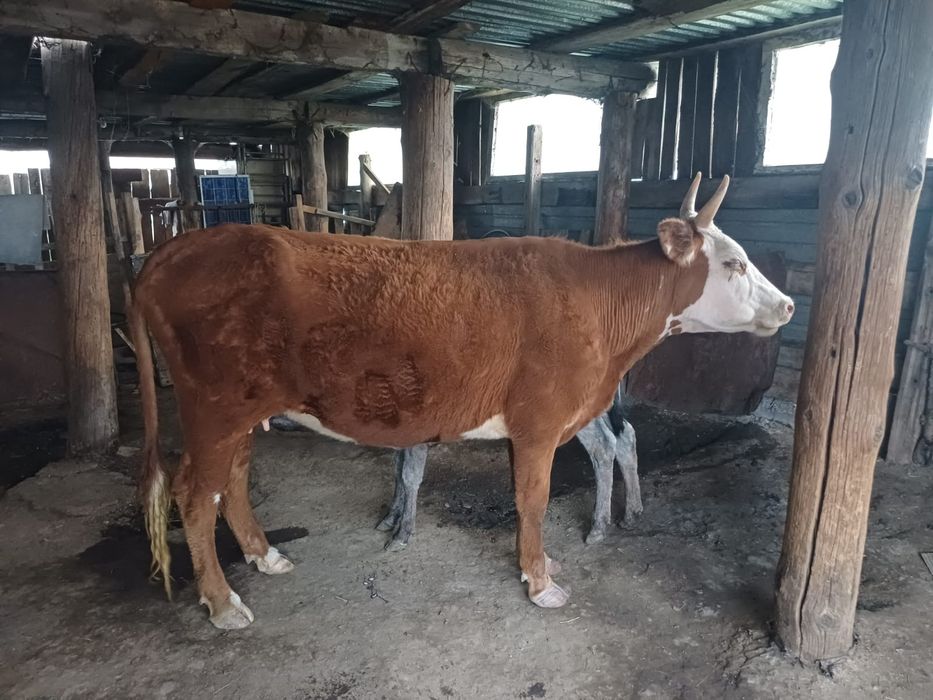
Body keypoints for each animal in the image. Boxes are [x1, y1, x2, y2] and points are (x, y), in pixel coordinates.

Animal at [376, 385, 639, 551]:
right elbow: (398, 468)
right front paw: (391, 516)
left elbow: (409, 474)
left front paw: (402, 533)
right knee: (624, 434)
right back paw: (631, 513)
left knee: (603, 444)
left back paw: (598, 527)